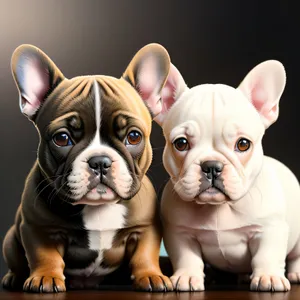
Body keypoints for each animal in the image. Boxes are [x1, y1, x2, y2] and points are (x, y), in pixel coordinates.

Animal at [1, 44, 173, 292]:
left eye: (133, 136)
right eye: (62, 138)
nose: (100, 161)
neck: (98, 207)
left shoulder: (145, 228)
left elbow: (145, 254)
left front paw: (151, 275)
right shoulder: (39, 228)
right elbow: (44, 255)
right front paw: (46, 277)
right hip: (10, 240)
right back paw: (13, 277)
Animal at [152, 59, 300, 292]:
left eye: (243, 144)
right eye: (181, 143)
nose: (212, 166)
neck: (219, 208)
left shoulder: (269, 230)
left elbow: (266, 255)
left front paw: (268, 276)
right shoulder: (180, 233)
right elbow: (187, 257)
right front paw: (187, 276)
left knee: (295, 256)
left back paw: (295, 273)